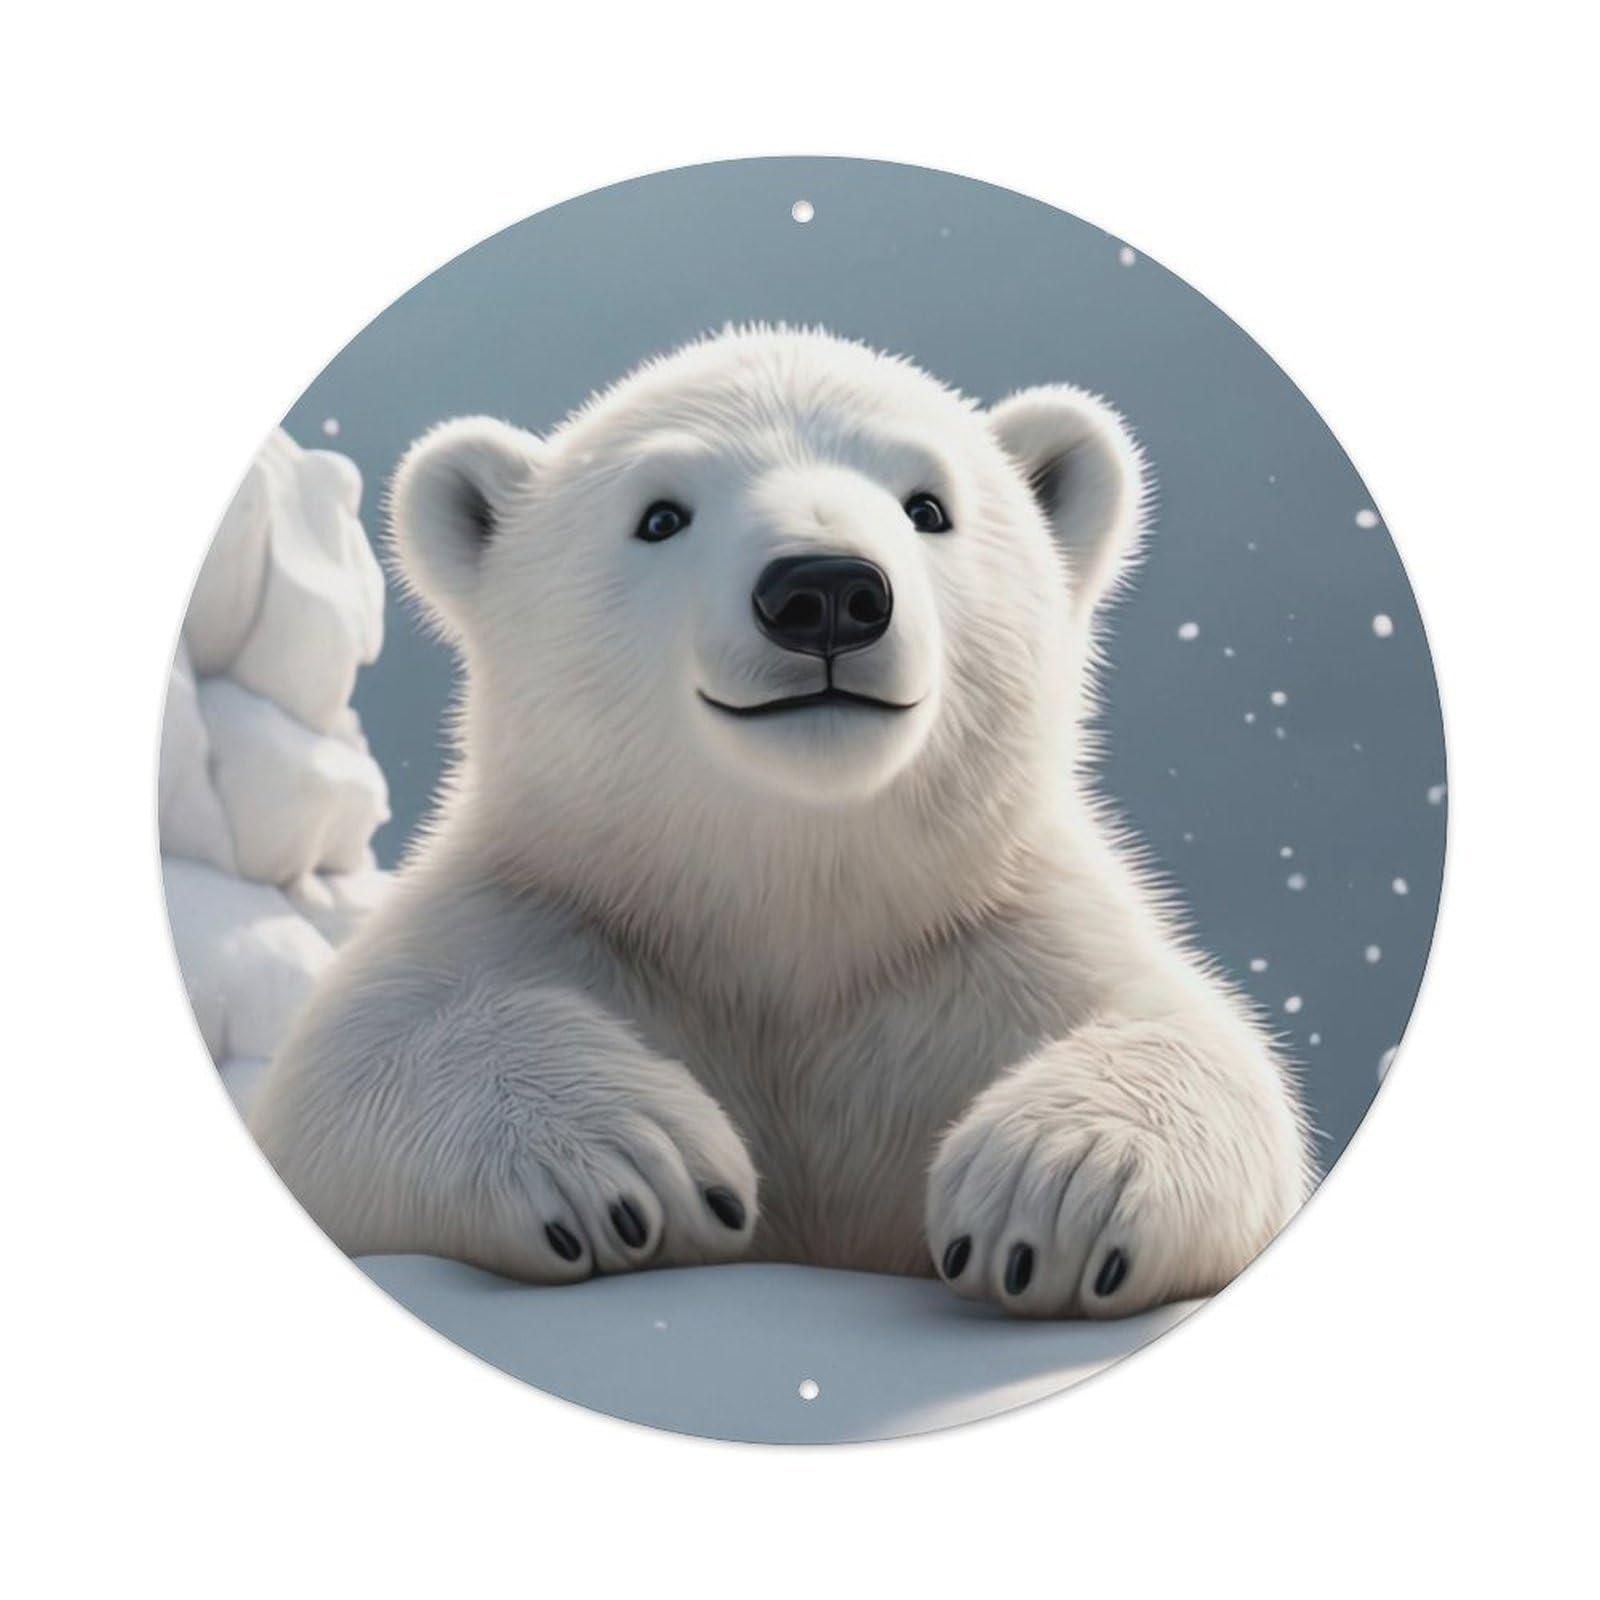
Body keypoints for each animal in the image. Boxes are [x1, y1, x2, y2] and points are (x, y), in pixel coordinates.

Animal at [248, 326, 1309, 1318]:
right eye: (660, 515)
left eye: (929, 506)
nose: (828, 591)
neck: (791, 910)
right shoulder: (553, 915)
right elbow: (344, 1074)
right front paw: (632, 1168)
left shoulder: (989, 946)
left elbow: (1204, 1049)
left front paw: (1054, 1193)